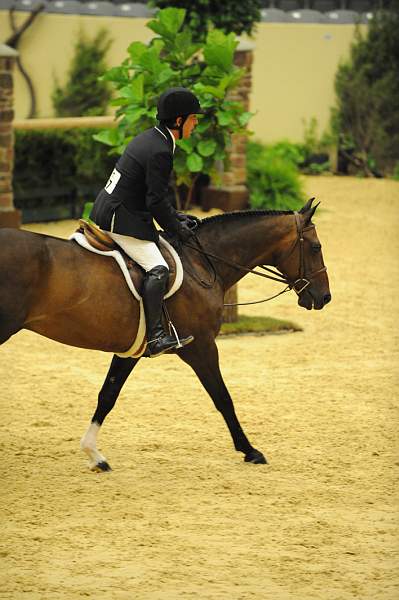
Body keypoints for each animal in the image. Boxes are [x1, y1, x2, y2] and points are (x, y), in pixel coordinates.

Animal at [0, 199, 332, 472]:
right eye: (316, 247)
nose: (324, 297)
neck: (201, 264)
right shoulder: (202, 348)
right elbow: (223, 398)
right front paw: (250, 450)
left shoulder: (130, 351)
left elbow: (107, 395)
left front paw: (94, 454)